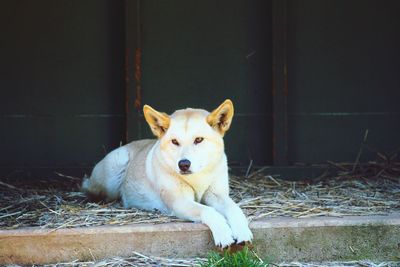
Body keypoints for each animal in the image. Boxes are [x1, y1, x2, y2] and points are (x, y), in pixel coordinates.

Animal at [82, 99, 253, 248]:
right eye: (175, 142)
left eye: (198, 139)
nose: (183, 164)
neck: (196, 178)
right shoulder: (180, 202)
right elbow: (209, 211)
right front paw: (224, 233)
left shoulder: (217, 195)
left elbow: (235, 209)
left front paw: (242, 231)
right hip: (115, 168)